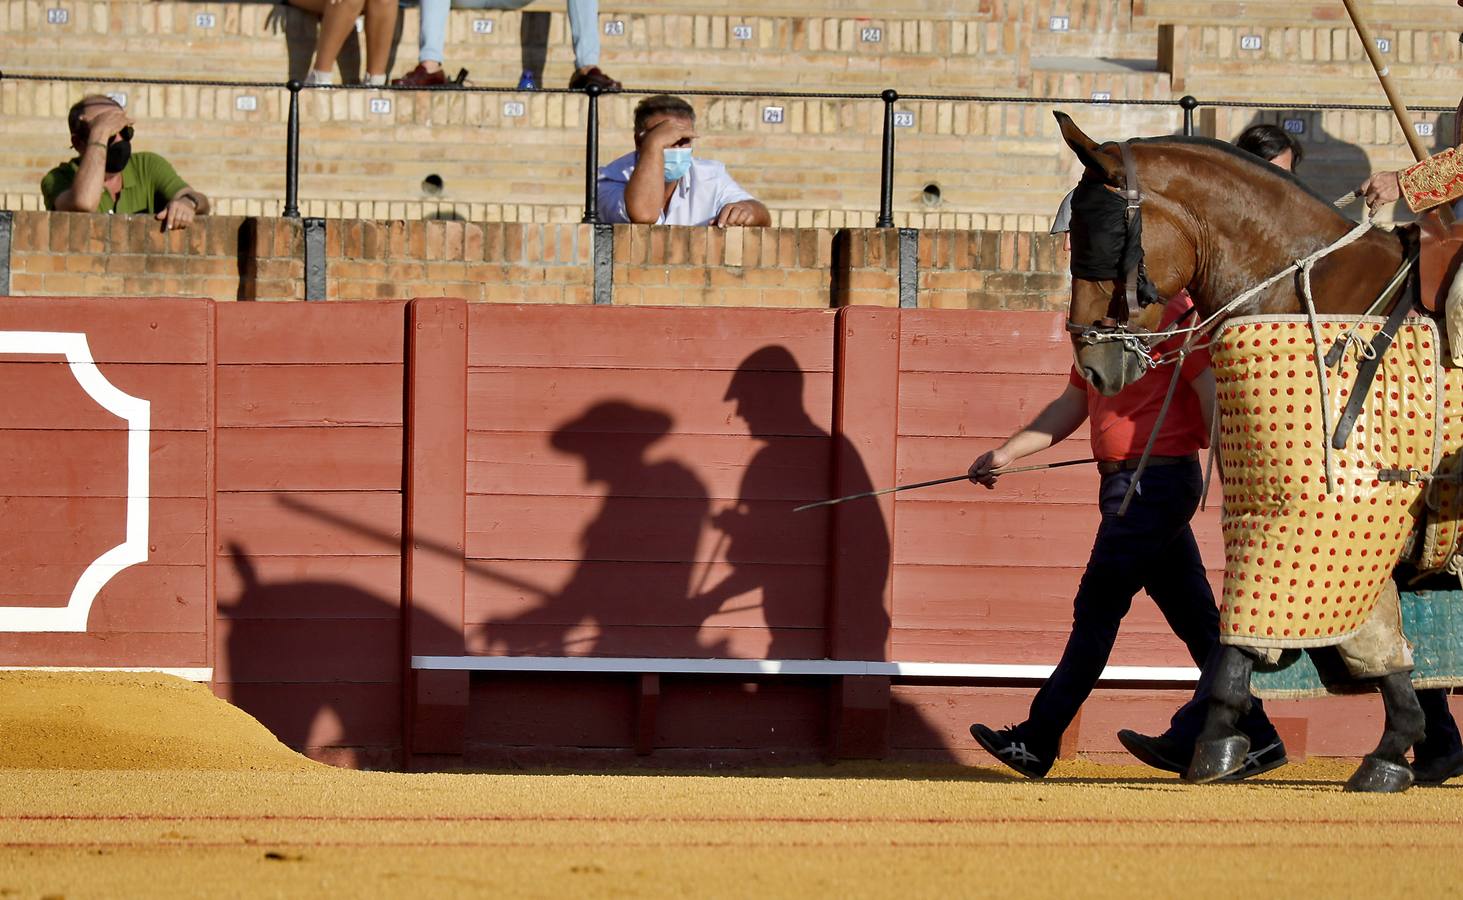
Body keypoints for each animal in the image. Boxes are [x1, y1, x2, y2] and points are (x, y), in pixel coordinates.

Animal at [1059, 112, 1433, 796]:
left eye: (1096, 236)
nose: (1094, 367)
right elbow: (1362, 626)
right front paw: (1394, 747)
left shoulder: (1318, 505)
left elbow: (1250, 623)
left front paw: (1215, 742)